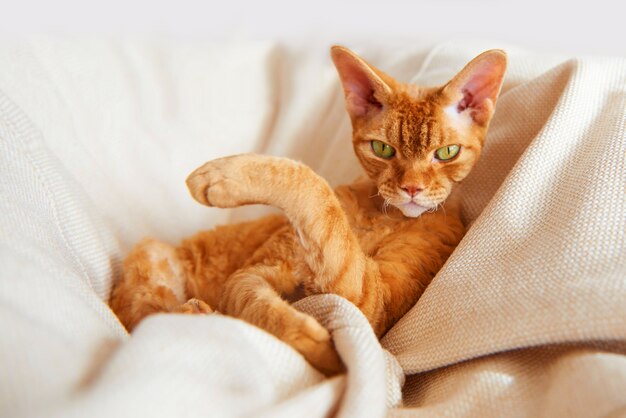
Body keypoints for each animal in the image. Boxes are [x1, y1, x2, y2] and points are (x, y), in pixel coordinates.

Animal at [109, 46, 504, 376]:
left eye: (447, 153)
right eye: (382, 149)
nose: (411, 189)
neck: (380, 215)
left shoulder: (370, 302)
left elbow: (318, 196)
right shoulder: (255, 272)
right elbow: (253, 297)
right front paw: (311, 341)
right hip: (151, 255)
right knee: (145, 318)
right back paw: (195, 312)